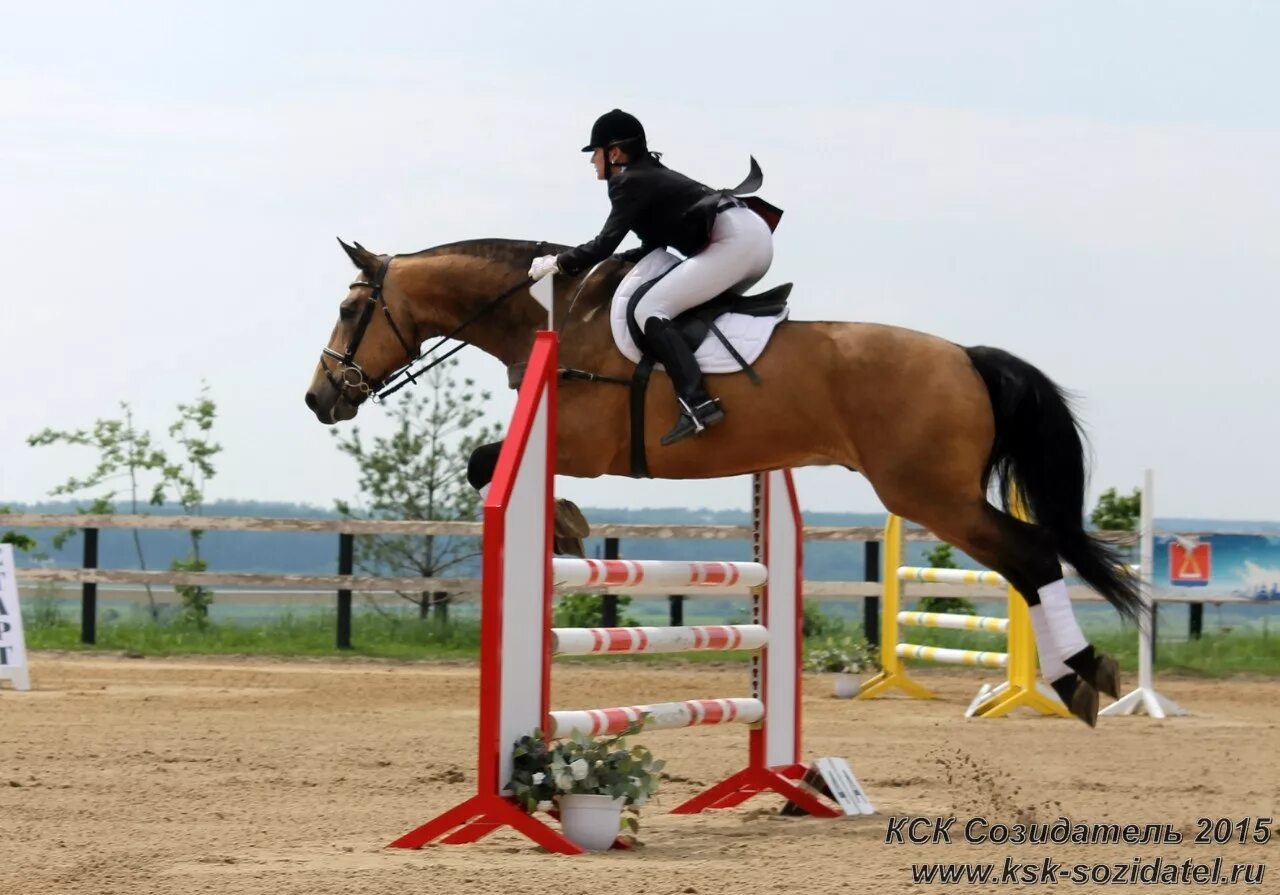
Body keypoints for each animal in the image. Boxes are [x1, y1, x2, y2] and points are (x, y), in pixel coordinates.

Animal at [307, 234, 1141, 727]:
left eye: (350, 308)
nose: (320, 398)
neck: (552, 315)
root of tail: (967, 356)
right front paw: (568, 527)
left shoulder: (583, 441)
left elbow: (486, 465)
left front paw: (567, 527)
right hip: (937, 494)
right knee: (1031, 557)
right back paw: (1080, 676)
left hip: (930, 495)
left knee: (1030, 555)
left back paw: (1079, 678)